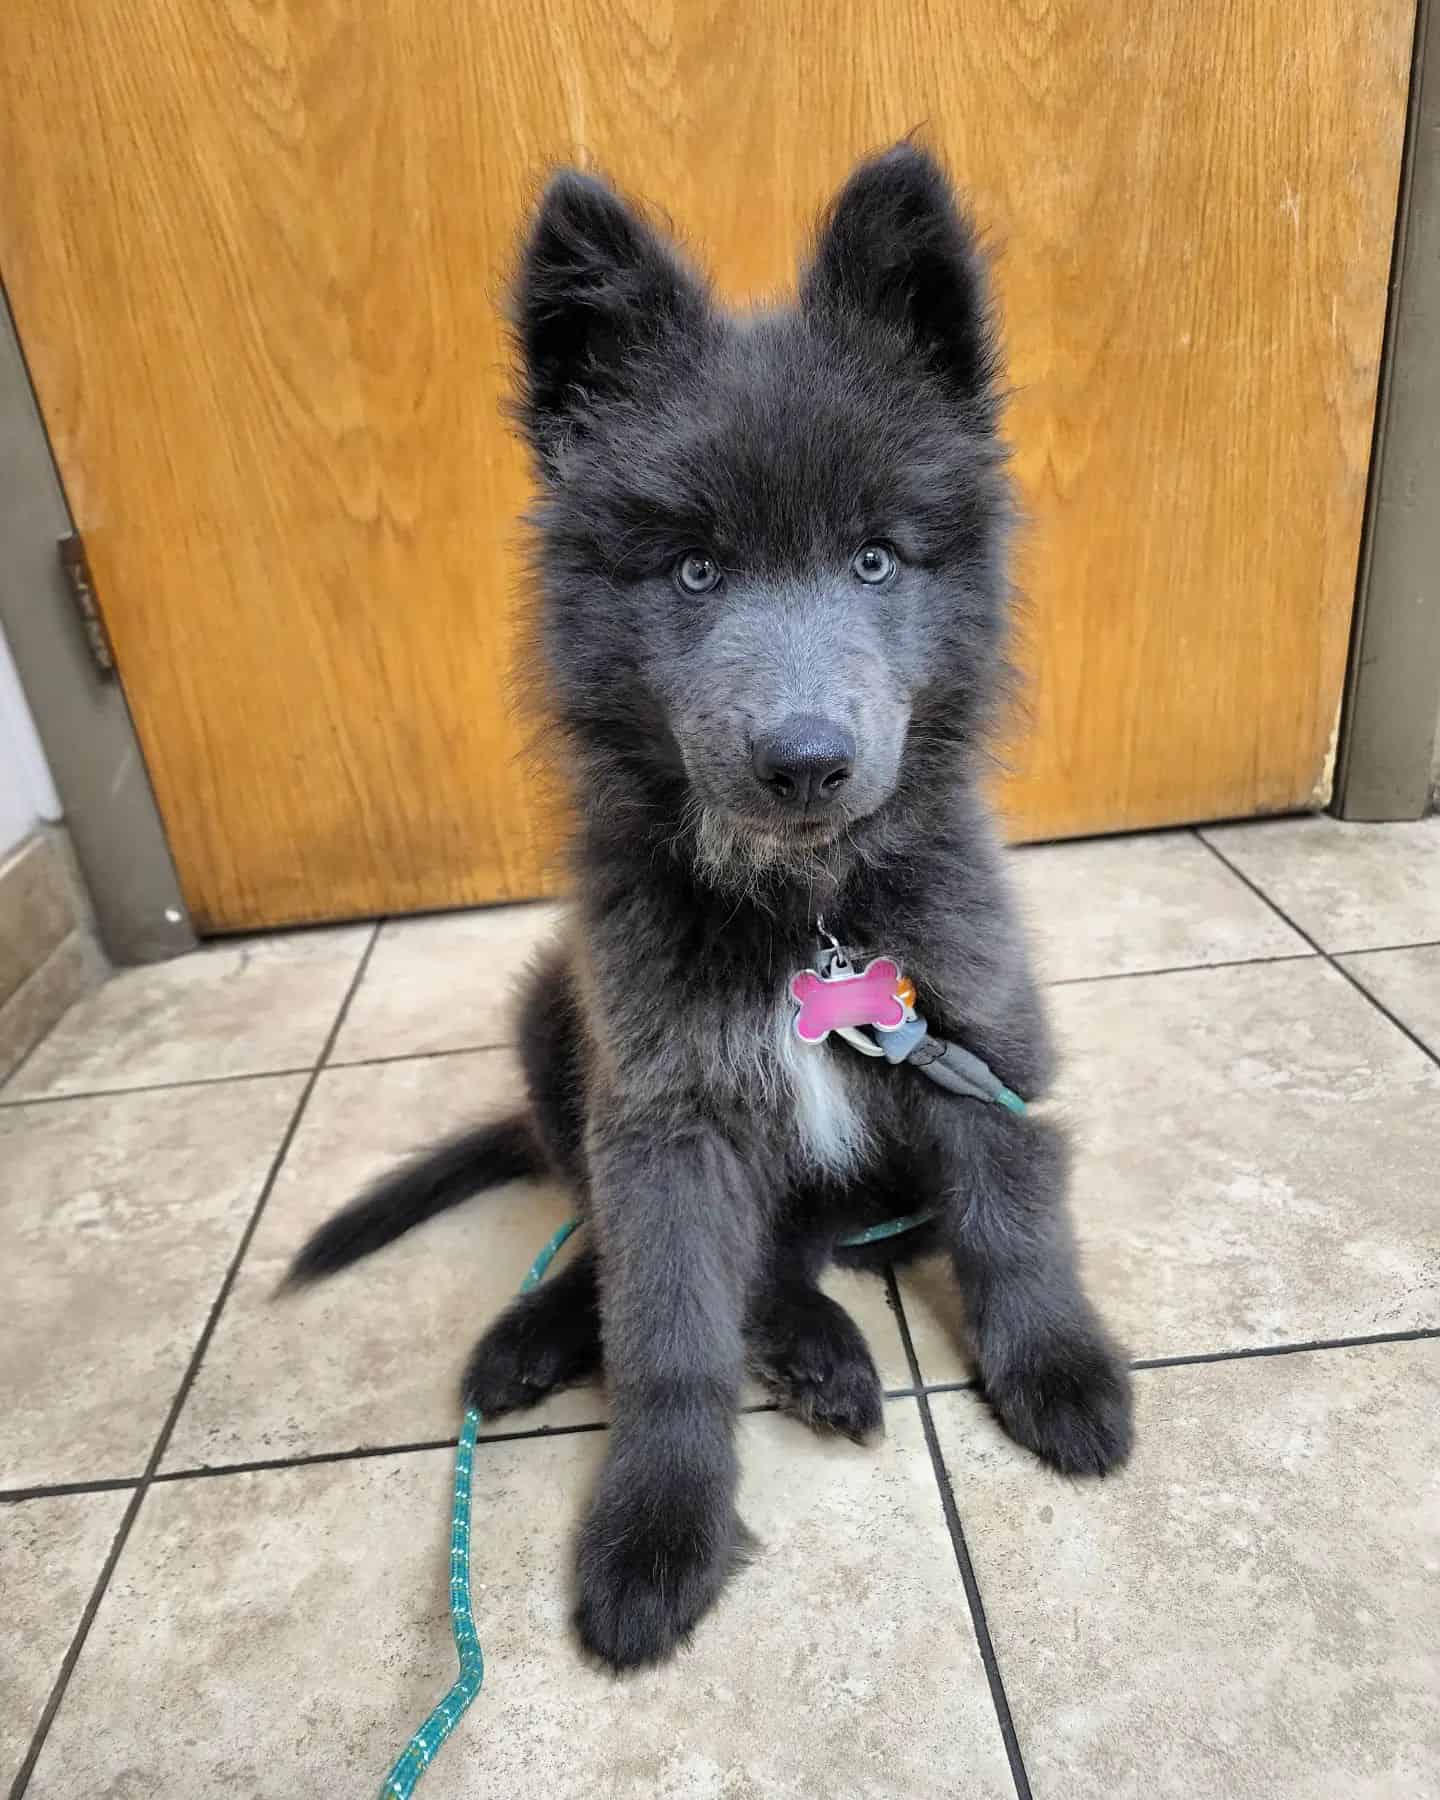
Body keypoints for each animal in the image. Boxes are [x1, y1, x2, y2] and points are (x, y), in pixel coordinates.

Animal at [286, 144, 1130, 1670]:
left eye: (875, 559)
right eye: (693, 569)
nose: (805, 762)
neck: (806, 916)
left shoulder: (980, 1048)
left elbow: (1012, 1219)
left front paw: (1058, 1369)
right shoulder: (664, 1116)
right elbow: (667, 1331)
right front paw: (655, 1528)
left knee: (796, 1249)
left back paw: (811, 1350)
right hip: (553, 1018)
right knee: (629, 1244)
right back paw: (552, 1337)